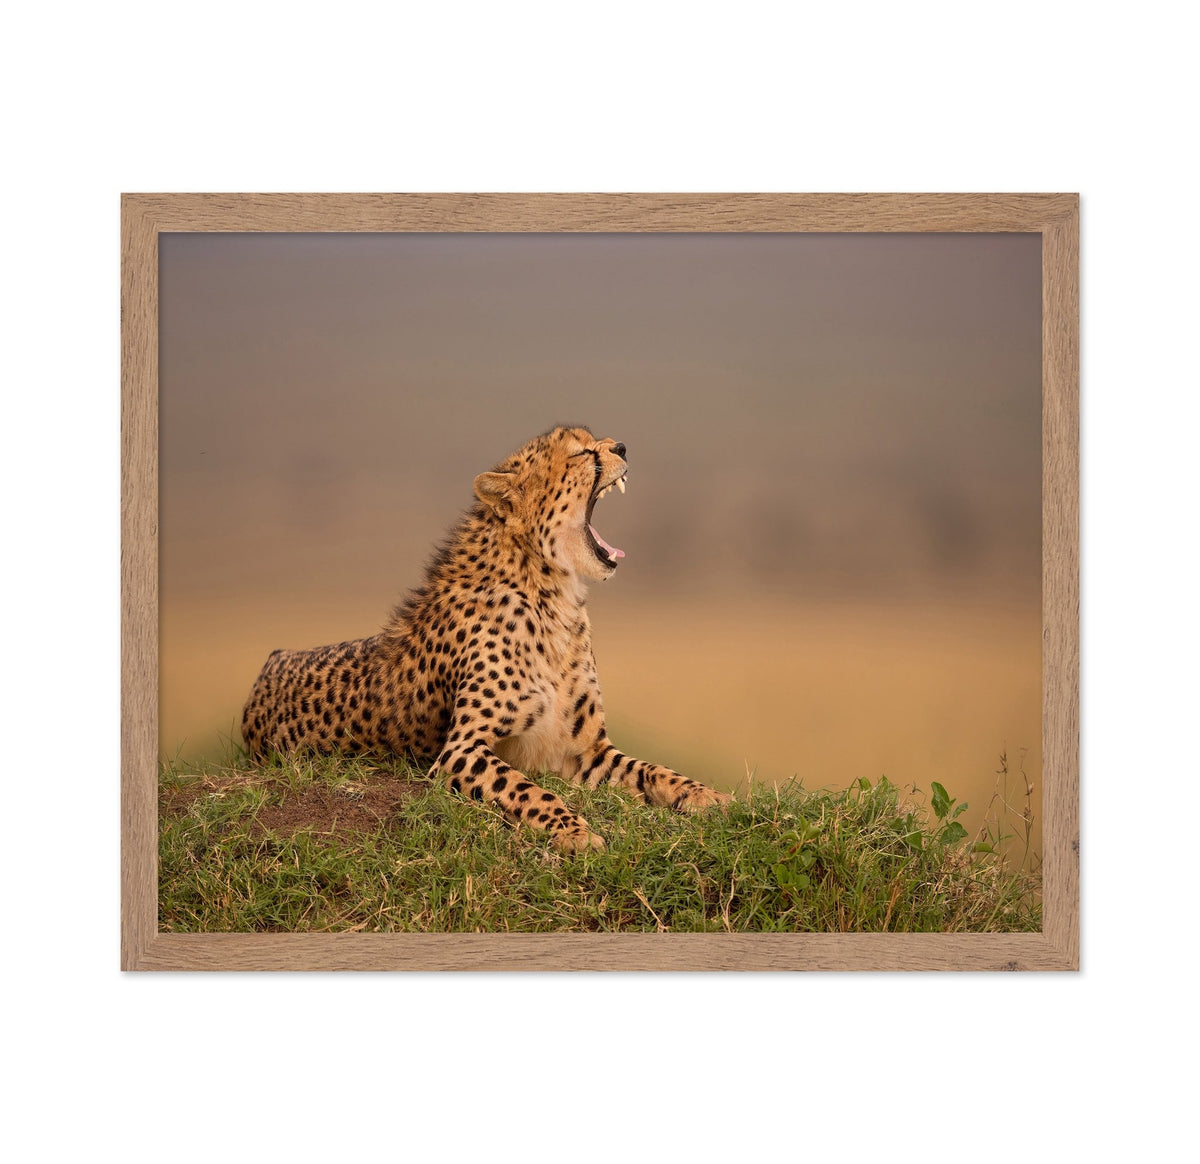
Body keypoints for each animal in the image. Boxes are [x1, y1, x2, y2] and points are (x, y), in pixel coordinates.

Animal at [241, 425, 731, 852]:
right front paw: (573, 831)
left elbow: (652, 769)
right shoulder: (460, 751)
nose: (623, 447)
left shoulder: (587, 750)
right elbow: (530, 790)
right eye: (580, 453)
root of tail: (271, 661)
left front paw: (705, 794)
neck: (553, 594)